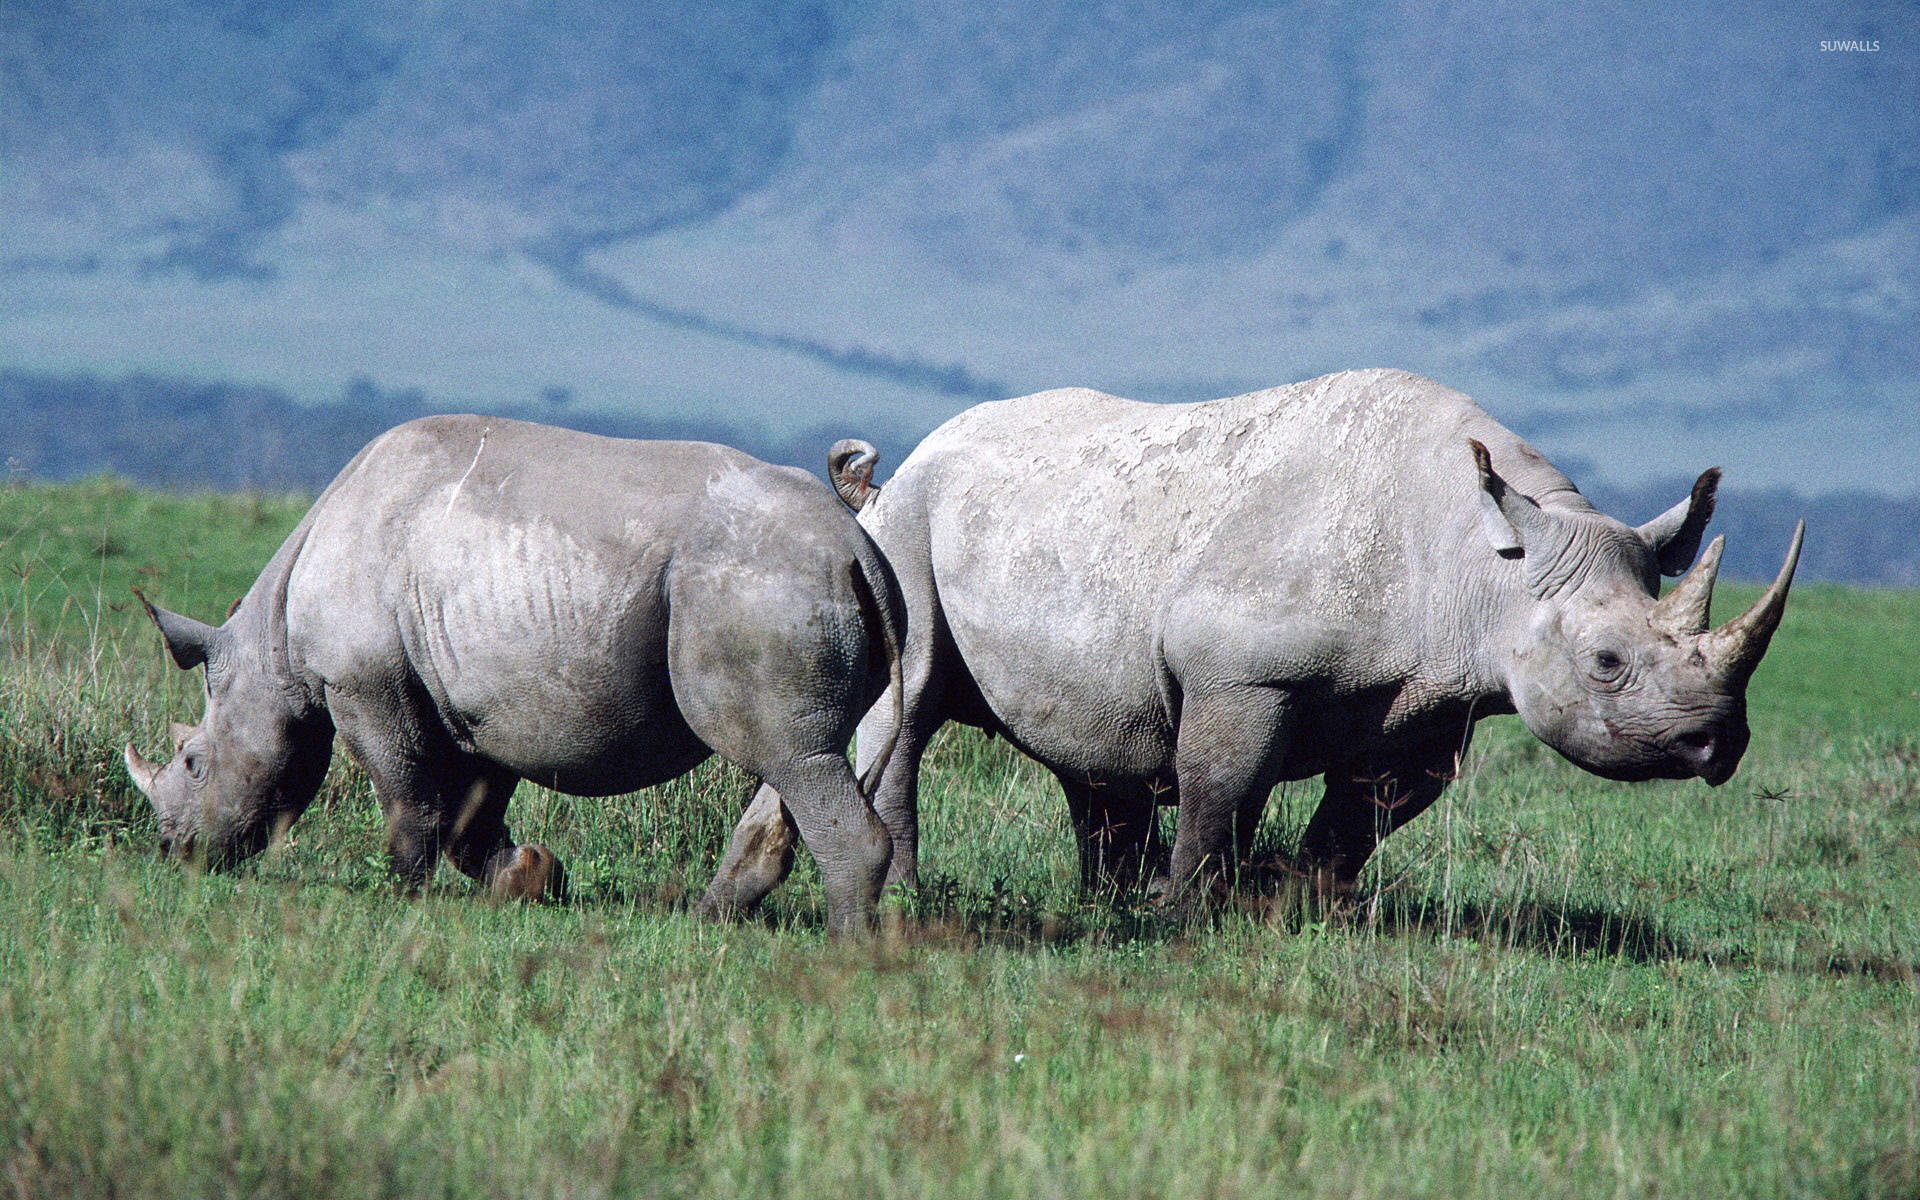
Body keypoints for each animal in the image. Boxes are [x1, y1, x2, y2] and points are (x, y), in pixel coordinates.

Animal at [124, 415, 903, 934]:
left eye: (193, 763)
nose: (172, 849)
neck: (272, 647)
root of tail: (855, 545)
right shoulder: (474, 695)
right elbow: (474, 807)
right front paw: (530, 877)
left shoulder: (364, 684)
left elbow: (404, 790)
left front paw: (401, 892)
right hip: (784, 584)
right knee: (797, 754)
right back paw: (710, 919)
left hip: (760, 583)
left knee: (790, 756)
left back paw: (845, 948)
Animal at [715, 368, 1803, 903]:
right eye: (1608, 664)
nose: (1715, 743)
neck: (1487, 564)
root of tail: (892, 473)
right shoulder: (1242, 674)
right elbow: (1219, 791)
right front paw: (1189, 916)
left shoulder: (1434, 703)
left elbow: (1360, 821)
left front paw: (1294, 910)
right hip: (905, 531)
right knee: (910, 706)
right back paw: (912, 897)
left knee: (1094, 740)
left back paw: (1102, 904)